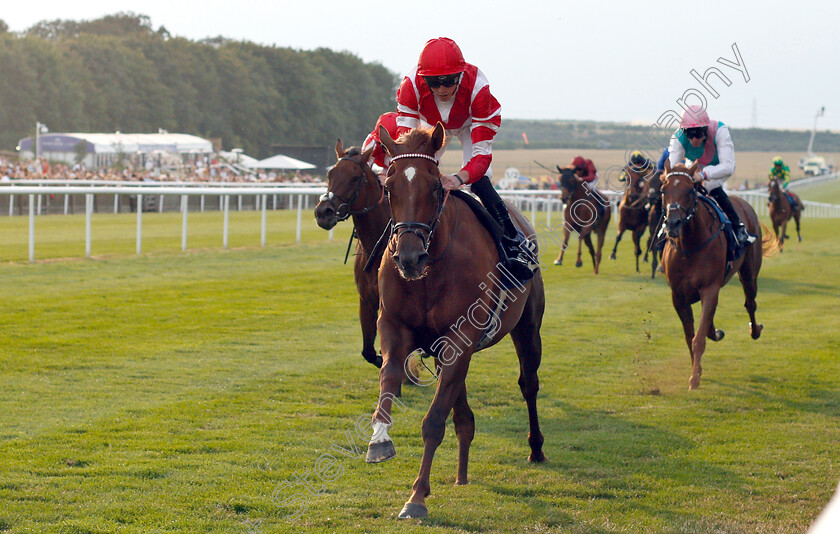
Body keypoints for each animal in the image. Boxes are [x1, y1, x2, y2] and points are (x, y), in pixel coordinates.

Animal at [368, 123, 544, 520]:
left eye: (435, 187)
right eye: (388, 187)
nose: (410, 257)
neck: (433, 267)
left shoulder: (462, 334)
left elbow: (434, 421)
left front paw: (416, 496)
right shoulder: (395, 327)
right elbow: (388, 380)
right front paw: (379, 439)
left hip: (527, 328)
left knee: (529, 384)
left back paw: (536, 448)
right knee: (462, 407)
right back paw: (462, 473)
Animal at [660, 161, 776, 392]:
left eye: (690, 190)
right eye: (663, 190)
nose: (673, 224)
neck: (690, 246)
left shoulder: (710, 289)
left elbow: (698, 338)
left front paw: (694, 379)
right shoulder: (678, 296)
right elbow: (691, 335)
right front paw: (696, 370)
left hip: (749, 273)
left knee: (750, 303)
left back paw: (755, 329)